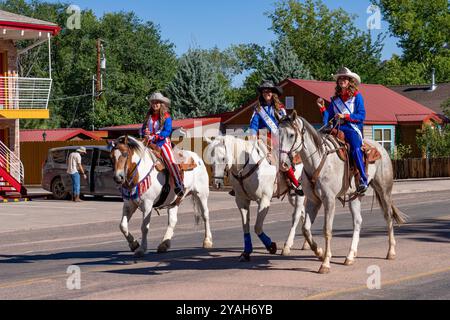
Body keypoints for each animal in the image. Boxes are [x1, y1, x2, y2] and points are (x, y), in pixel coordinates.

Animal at [207, 134, 306, 262]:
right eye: (210, 159)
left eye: (223, 158)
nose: (216, 184)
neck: (246, 167)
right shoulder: (241, 201)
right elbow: (245, 226)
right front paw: (246, 252)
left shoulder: (264, 200)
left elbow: (257, 227)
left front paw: (271, 246)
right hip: (292, 196)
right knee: (303, 213)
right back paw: (307, 243)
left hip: (299, 195)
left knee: (296, 216)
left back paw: (287, 246)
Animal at [276, 112, 406, 272]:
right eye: (278, 133)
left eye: (291, 135)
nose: (283, 164)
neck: (318, 161)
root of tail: (380, 148)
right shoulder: (313, 201)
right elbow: (305, 229)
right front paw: (319, 252)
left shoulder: (329, 200)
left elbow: (327, 230)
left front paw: (325, 263)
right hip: (354, 197)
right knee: (357, 221)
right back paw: (350, 256)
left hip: (384, 190)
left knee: (388, 217)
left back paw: (391, 251)